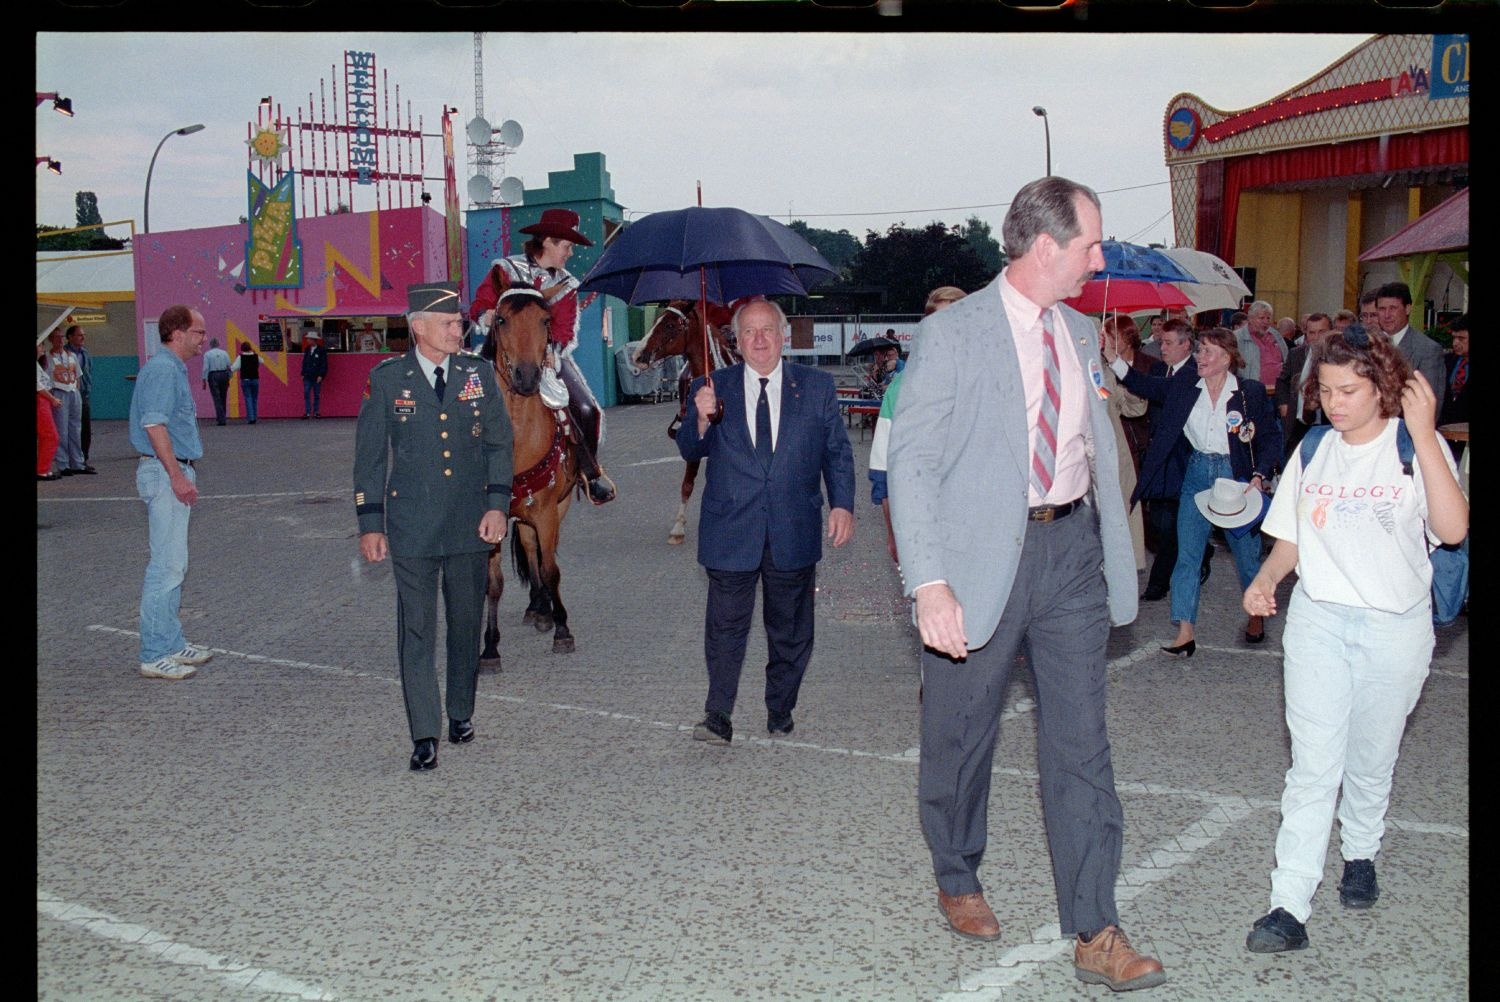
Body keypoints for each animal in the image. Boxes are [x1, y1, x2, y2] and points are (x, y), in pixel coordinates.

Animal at [480, 280, 579, 666]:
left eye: (545, 320)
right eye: (501, 320)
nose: (526, 376)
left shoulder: (548, 511)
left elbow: (552, 569)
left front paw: (563, 630)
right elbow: (493, 584)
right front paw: (489, 647)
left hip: (556, 509)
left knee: (539, 551)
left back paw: (546, 609)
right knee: (528, 545)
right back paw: (538, 607)